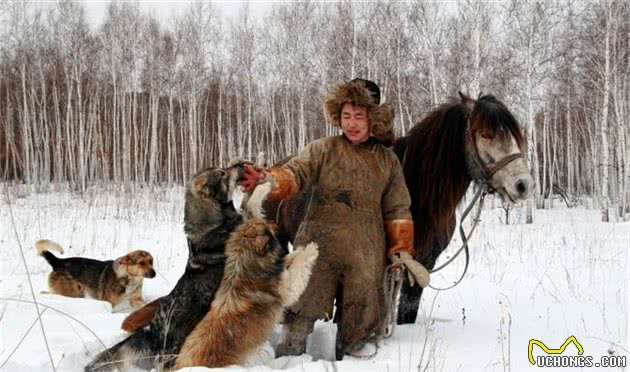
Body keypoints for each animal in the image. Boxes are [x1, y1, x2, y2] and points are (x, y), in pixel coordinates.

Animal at [264, 93, 536, 326]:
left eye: (515, 136)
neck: (417, 193)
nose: (523, 185)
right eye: (486, 134)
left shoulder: (422, 263)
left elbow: (407, 309)